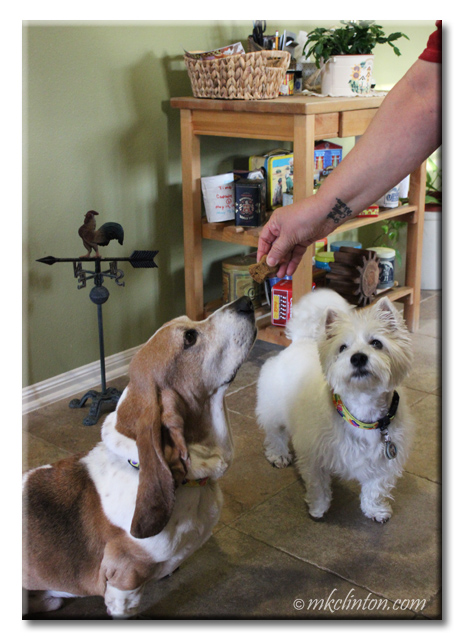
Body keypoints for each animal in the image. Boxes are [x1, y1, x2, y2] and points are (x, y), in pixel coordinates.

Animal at [256, 289, 413, 523]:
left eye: (376, 343)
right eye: (343, 347)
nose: (358, 358)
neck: (361, 413)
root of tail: (301, 341)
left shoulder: (384, 461)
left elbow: (375, 489)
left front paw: (375, 510)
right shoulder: (313, 453)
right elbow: (318, 485)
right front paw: (318, 508)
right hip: (273, 406)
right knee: (275, 433)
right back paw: (279, 454)